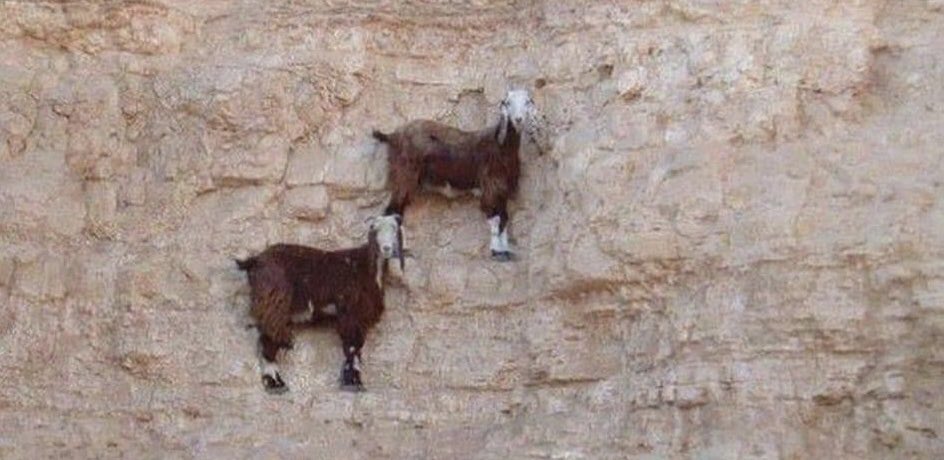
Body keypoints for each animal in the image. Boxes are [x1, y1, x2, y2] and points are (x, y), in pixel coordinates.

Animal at [235, 214, 403, 393]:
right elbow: (352, 347)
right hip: (274, 305)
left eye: (394, 229)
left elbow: (356, 349)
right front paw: (353, 383)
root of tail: (255, 260)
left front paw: (354, 381)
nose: (386, 248)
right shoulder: (350, 312)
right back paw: (276, 385)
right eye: (374, 229)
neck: (363, 265)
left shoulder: (359, 317)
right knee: (269, 342)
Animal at [371, 89, 548, 261]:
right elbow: (495, 218)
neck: (501, 146)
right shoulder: (490, 185)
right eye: (508, 102)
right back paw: (395, 252)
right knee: (393, 210)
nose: (518, 119)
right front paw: (496, 252)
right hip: (404, 176)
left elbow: (504, 218)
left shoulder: (502, 188)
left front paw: (504, 251)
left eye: (527, 102)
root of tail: (393, 136)